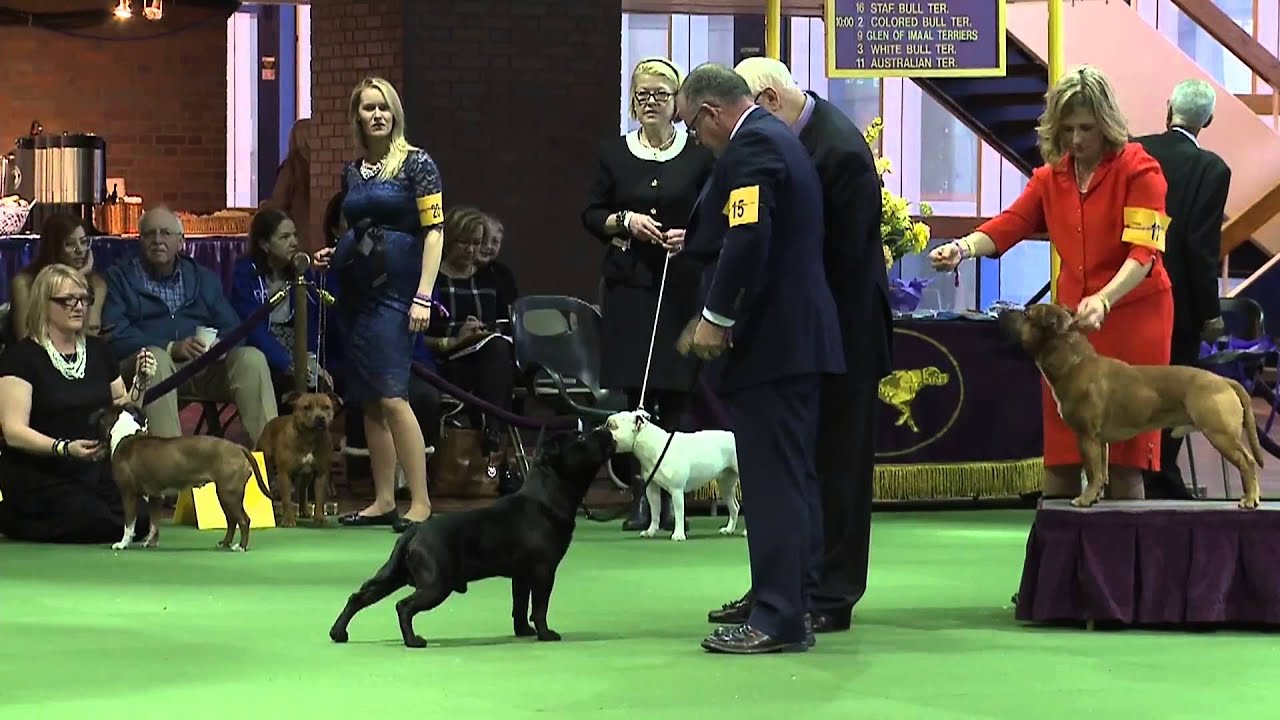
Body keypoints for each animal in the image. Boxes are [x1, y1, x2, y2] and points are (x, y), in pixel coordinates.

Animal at [91, 406, 273, 551]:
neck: (125, 434)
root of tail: (238, 447)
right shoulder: (155, 496)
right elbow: (154, 524)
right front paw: (151, 543)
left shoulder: (128, 494)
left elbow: (129, 524)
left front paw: (122, 544)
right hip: (226, 495)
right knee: (231, 521)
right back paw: (224, 543)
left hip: (228, 494)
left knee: (243, 520)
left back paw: (240, 547)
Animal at [255, 391, 340, 528]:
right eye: (306, 407)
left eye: (327, 407)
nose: (320, 418)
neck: (310, 438)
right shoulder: (285, 474)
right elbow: (286, 500)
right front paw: (288, 520)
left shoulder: (321, 474)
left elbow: (320, 499)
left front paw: (320, 518)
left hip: (306, 475)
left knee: (302, 491)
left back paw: (304, 511)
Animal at [328, 428, 615, 648]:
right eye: (581, 438)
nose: (607, 430)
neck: (547, 495)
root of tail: (414, 531)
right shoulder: (543, 571)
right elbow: (540, 607)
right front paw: (546, 634)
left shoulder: (522, 575)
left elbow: (521, 606)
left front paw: (524, 632)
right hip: (436, 585)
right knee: (404, 606)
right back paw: (413, 641)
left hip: (392, 577)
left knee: (359, 598)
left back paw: (338, 633)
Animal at [605, 410, 741, 541]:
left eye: (612, 426)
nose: (601, 428)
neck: (654, 445)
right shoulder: (652, 489)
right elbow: (655, 512)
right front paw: (650, 531)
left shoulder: (677, 490)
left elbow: (679, 514)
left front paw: (678, 534)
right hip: (725, 485)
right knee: (734, 507)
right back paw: (729, 529)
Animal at [1000, 303, 1263, 509]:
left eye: (1027, 313)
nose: (1001, 310)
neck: (1073, 361)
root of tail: (1224, 380)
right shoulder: (1099, 441)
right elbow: (1101, 470)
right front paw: (1094, 497)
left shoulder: (1086, 436)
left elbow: (1092, 470)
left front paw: (1083, 500)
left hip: (1220, 434)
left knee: (1247, 462)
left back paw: (1250, 500)